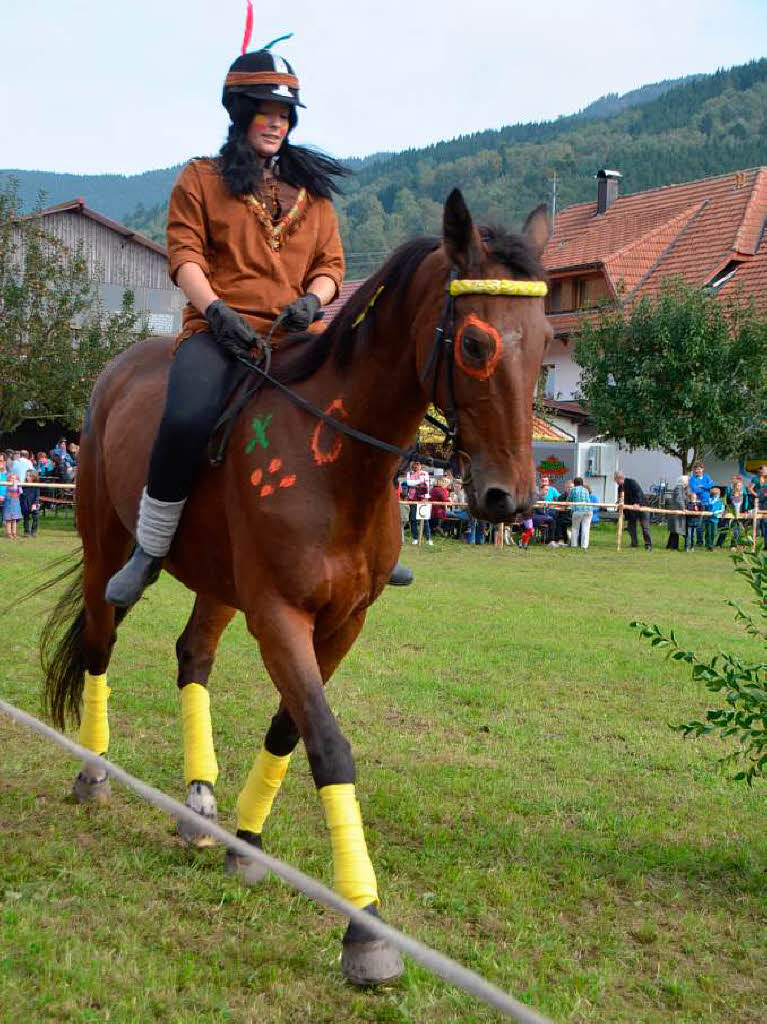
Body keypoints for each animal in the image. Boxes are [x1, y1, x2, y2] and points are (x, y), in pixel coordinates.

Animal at [40, 190, 548, 983]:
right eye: (473, 345)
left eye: (547, 340)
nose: (511, 499)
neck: (335, 458)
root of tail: (116, 371)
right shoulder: (279, 615)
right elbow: (329, 745)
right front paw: (365, 927)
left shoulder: (342, 622)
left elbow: (290, 726)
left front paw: (248, 845)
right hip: (105, 548)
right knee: (99, 644)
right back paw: (94, 773)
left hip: (219, 582)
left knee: (193, 656)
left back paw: (199, 803)